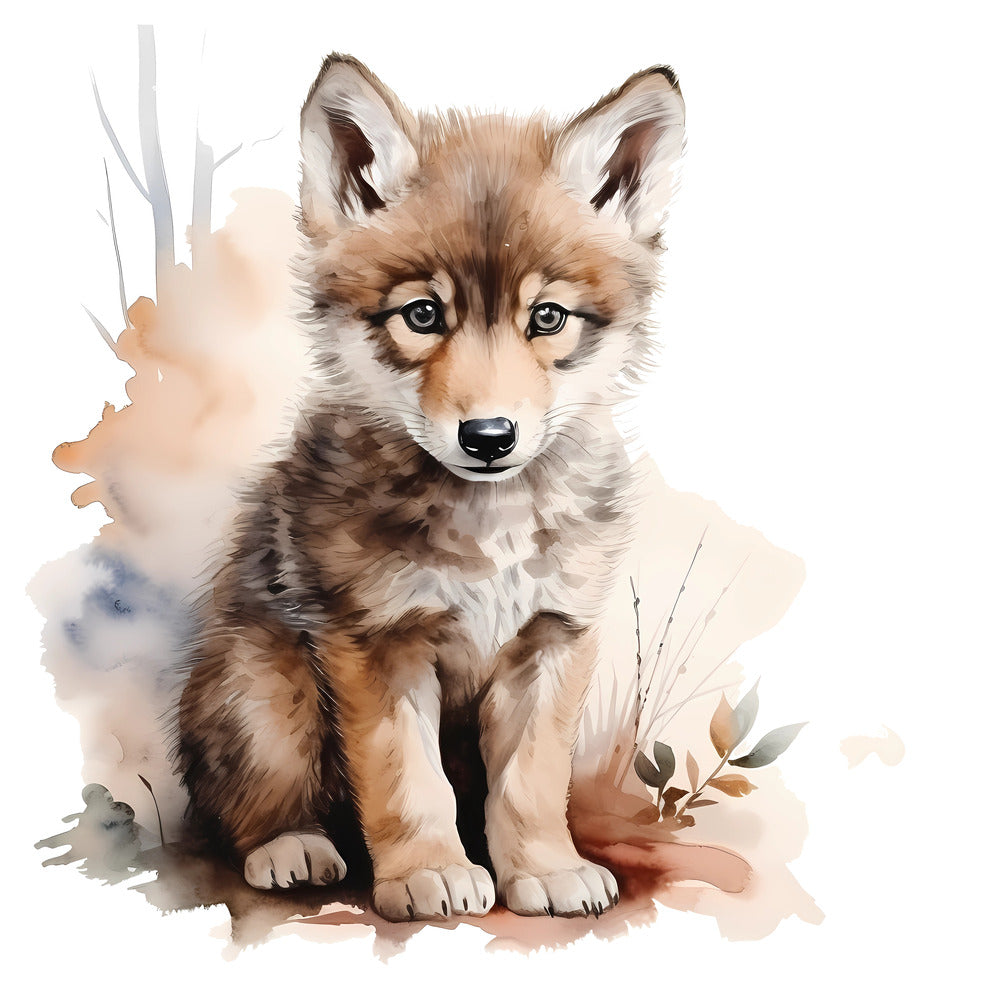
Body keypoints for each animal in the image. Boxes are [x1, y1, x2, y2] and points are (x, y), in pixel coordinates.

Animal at [176, 52, 685, 921]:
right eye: (421, 315)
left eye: (547, 319)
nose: (488, 437)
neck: (491, 526)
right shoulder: (376, 642)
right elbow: (408, 782)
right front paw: (427, 873)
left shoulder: (551, 641)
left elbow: (531, 784)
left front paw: (545, 870)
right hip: (265, 684)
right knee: (249, 798)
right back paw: (291, 844)